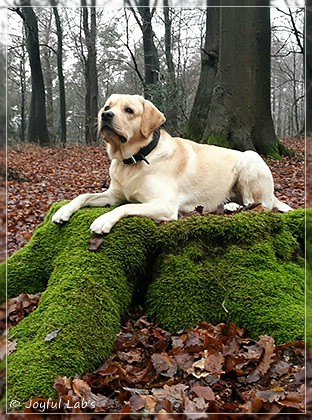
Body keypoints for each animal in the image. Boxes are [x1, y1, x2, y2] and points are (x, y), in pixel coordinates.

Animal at [51, 93, 292, 235]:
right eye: (107, 106)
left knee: (259, 206)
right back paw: (230, 205)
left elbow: (127, 206)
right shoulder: (114, 195)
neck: (135, 159)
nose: (106, 115)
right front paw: (63, 210)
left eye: (129, 110)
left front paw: (103, 220)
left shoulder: (165, 205)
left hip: (250, 158)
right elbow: (84, 196)